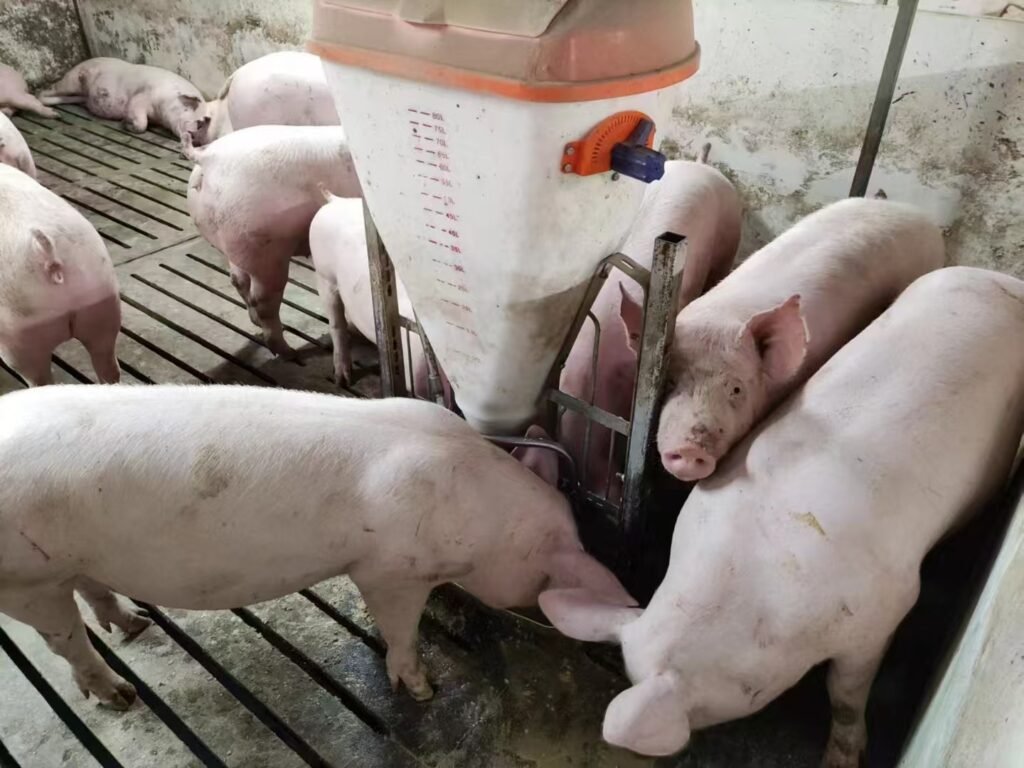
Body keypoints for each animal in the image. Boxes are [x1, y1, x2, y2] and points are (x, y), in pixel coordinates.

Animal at [0, 385, 634, 708]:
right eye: (547, 580)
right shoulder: (390, 568)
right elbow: (400, 627)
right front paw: (423, 690)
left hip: (68, 560)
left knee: (91, 590)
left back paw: (133, 625)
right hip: (24, 580)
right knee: (64, 641)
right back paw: (120, 694)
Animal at [39, 58, 208, 138]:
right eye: (198, 121)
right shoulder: (141, 97)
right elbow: (141, 123)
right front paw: (126, 124)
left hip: (79, 95)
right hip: (72, 80)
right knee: (49, 89)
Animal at [183, 126, 361, 358]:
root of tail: (207, 157)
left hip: (238, 243)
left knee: (238, 280)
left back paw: (257, 324)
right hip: (265, 251)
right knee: (264, 301)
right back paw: (287, 352)